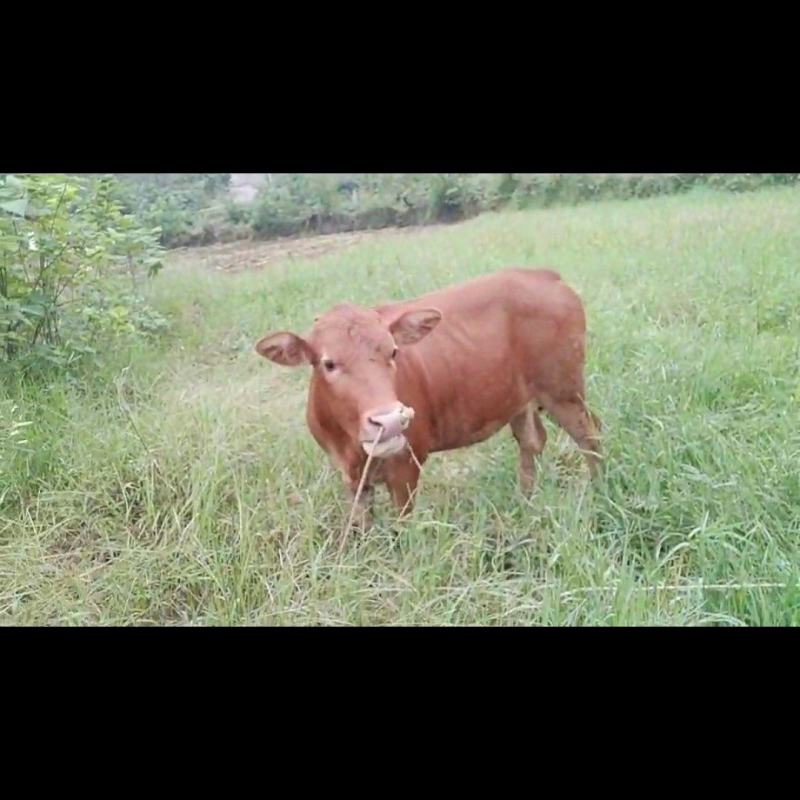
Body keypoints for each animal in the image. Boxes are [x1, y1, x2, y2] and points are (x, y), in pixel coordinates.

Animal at [256, 268, 600, 528]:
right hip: (519, 398)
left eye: (394, 351)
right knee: (531, 440)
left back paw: (598, 490)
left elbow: (401, 528)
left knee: (590, 435)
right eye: (328, 363)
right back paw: (525, 501)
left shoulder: (408, 464)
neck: (352, 445)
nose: (390, 421)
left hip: (563, 391)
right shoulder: (350, 476)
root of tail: (545, 275)